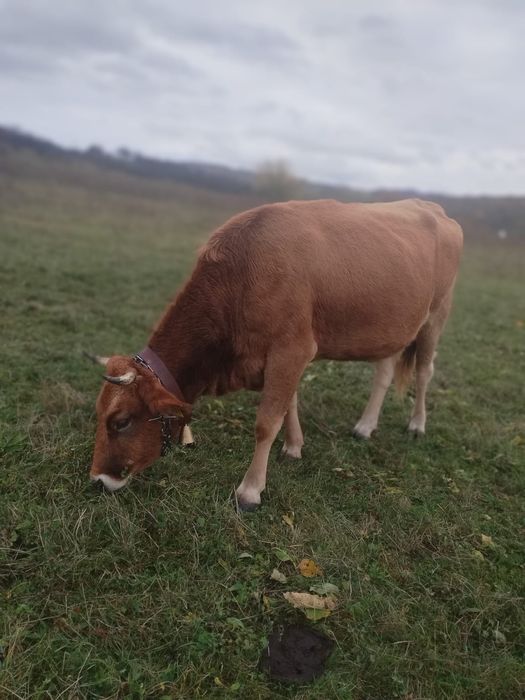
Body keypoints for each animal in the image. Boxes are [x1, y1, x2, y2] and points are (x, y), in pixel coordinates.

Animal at [89, 198, 463, 510]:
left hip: (437, 315)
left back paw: (417, 424)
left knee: (424, 372)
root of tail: (433, 207)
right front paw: (294, 446)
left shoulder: (291, 348)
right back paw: (365, 426)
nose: (97, 481)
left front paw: (250, 490)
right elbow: (289, 403)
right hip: (391, 327)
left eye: (121, 422)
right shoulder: (284, 355)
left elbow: (267, 421)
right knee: (383, 373)